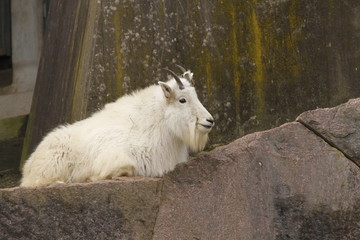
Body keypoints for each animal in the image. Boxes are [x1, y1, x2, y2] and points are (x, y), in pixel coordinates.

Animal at [20, 66, 214, 188]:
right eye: (182, 100)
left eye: (196, 95)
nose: (209, 121)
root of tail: (28, 165)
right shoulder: (117, 155)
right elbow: (126, 167)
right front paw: (92, 178)